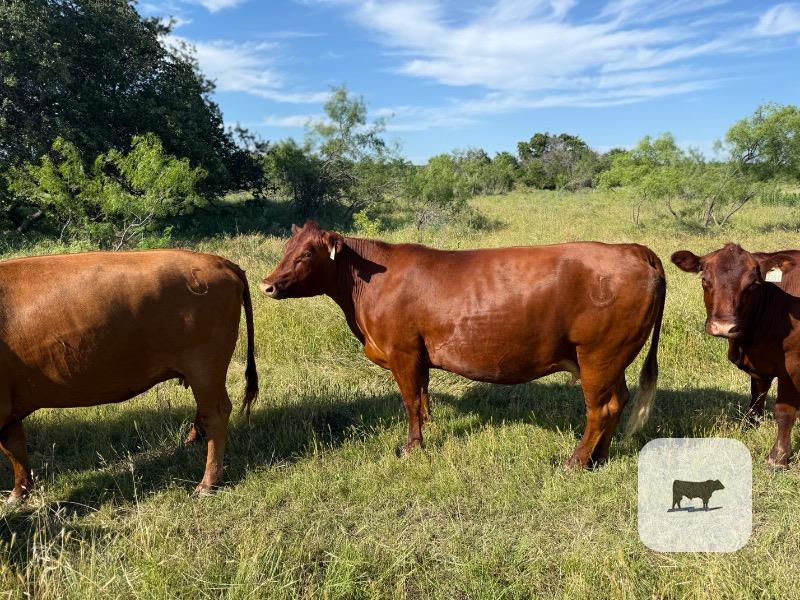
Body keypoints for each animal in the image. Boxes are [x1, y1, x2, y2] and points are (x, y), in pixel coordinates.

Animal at [0, 250, 258, 503]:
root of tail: (217, 260)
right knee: (205, 410)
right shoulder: (10, 406)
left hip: (205, 366)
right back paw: (193, 441)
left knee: (215, 413)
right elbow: (14, 447)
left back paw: (208, 483)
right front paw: (20, 491)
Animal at [260, 221, 665, 467]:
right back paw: (600, 457)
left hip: (598, 355)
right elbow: (423, 395)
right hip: (612, 358)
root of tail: (632, 250)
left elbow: (409, 401)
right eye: (286, 248)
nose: (267, 285)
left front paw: (411, 448)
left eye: (307, 253)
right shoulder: (418, 354)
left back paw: (576, 462)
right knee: (619, 400)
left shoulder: (402, 351)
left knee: (600, 408)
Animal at [672, 243, 799, 468]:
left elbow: (784, 412)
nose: (724, 327)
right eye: (705, 280)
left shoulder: (792, 366)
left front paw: (778, 457)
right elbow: (756, 400)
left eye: (752, 284)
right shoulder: (760, 365)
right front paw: (749, 428)